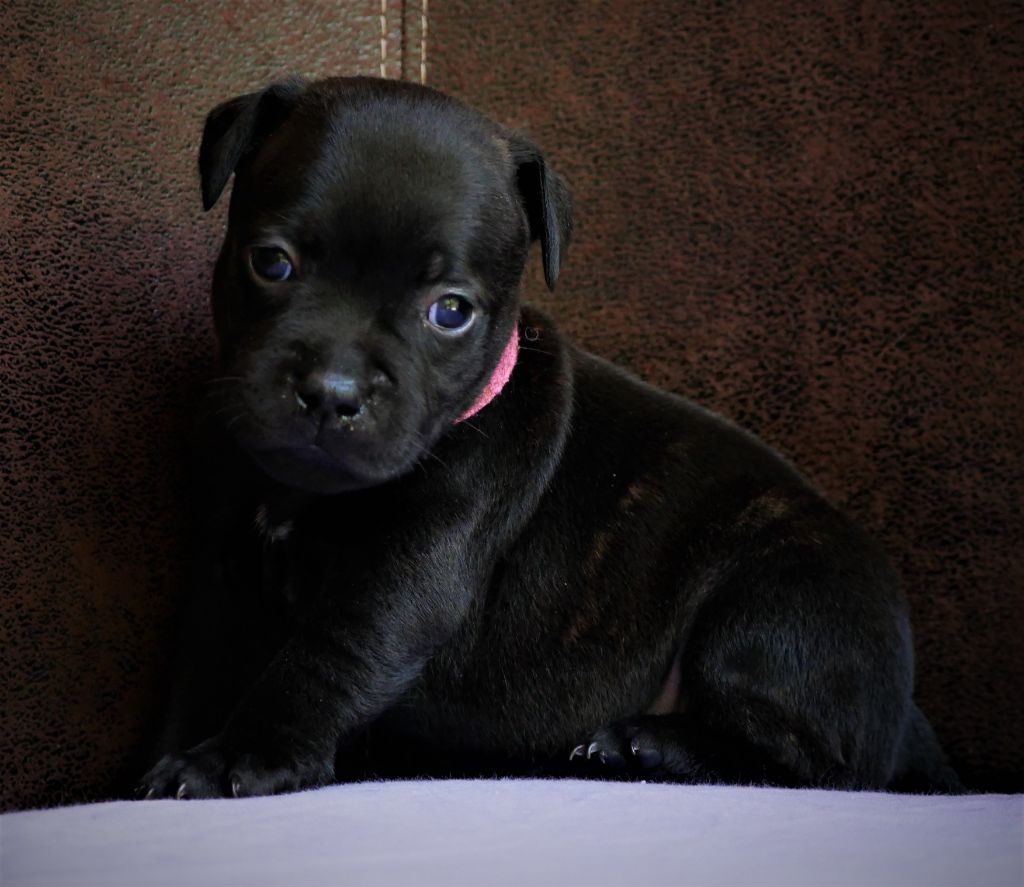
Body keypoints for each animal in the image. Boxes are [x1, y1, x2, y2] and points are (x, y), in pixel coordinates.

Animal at [140, 75, 960, 799]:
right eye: (271, 262)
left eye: (450, 312)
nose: (332, 391)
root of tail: (907, 717)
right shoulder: (224, 568)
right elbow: (202, 668)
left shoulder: (406, 574)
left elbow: (324, 656)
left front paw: (241, 755)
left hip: (775, 601)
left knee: (820, 765)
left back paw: (649, 744)